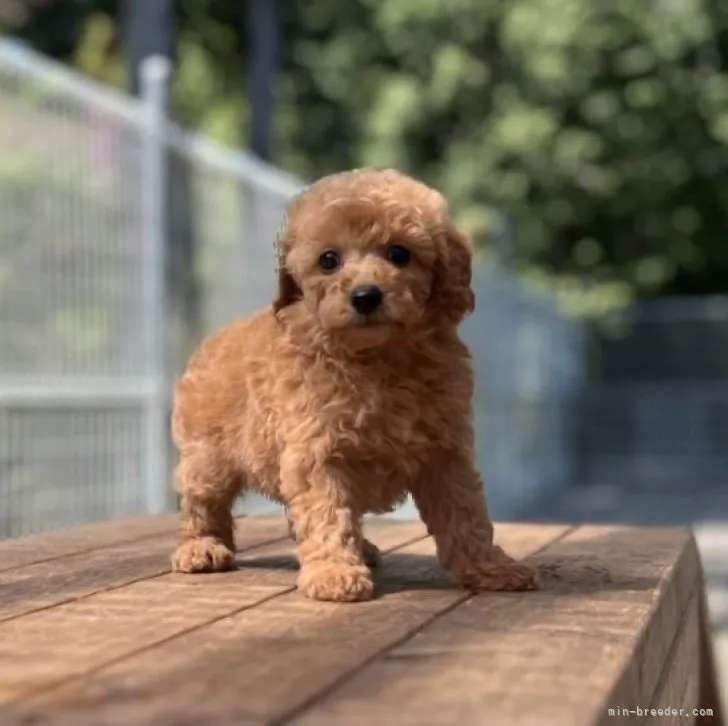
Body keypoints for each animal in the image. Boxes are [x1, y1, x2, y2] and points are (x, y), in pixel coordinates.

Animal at [169, 166, 536, 604]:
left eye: (399, 253)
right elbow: (326, 512)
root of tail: (210, 341)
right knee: (203, 504)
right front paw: (333, 572)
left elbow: (466, 513)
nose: (365, 296)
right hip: (208, 458)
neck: (375, 357)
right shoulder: (317, 451)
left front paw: (490, 567)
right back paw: (201, 547)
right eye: (329, 260)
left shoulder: (445, 451)